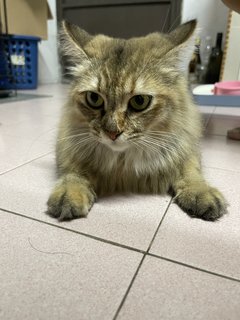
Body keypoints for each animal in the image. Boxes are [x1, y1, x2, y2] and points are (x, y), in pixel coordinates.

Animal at [46, 18, 227, 221]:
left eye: (139, 101)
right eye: (94, 98)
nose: (112, 133)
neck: (123, 161)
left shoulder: (185, 146)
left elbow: (190, 171)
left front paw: (200, 191)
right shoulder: (68, 145)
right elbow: (73, 172)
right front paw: (70, 192)